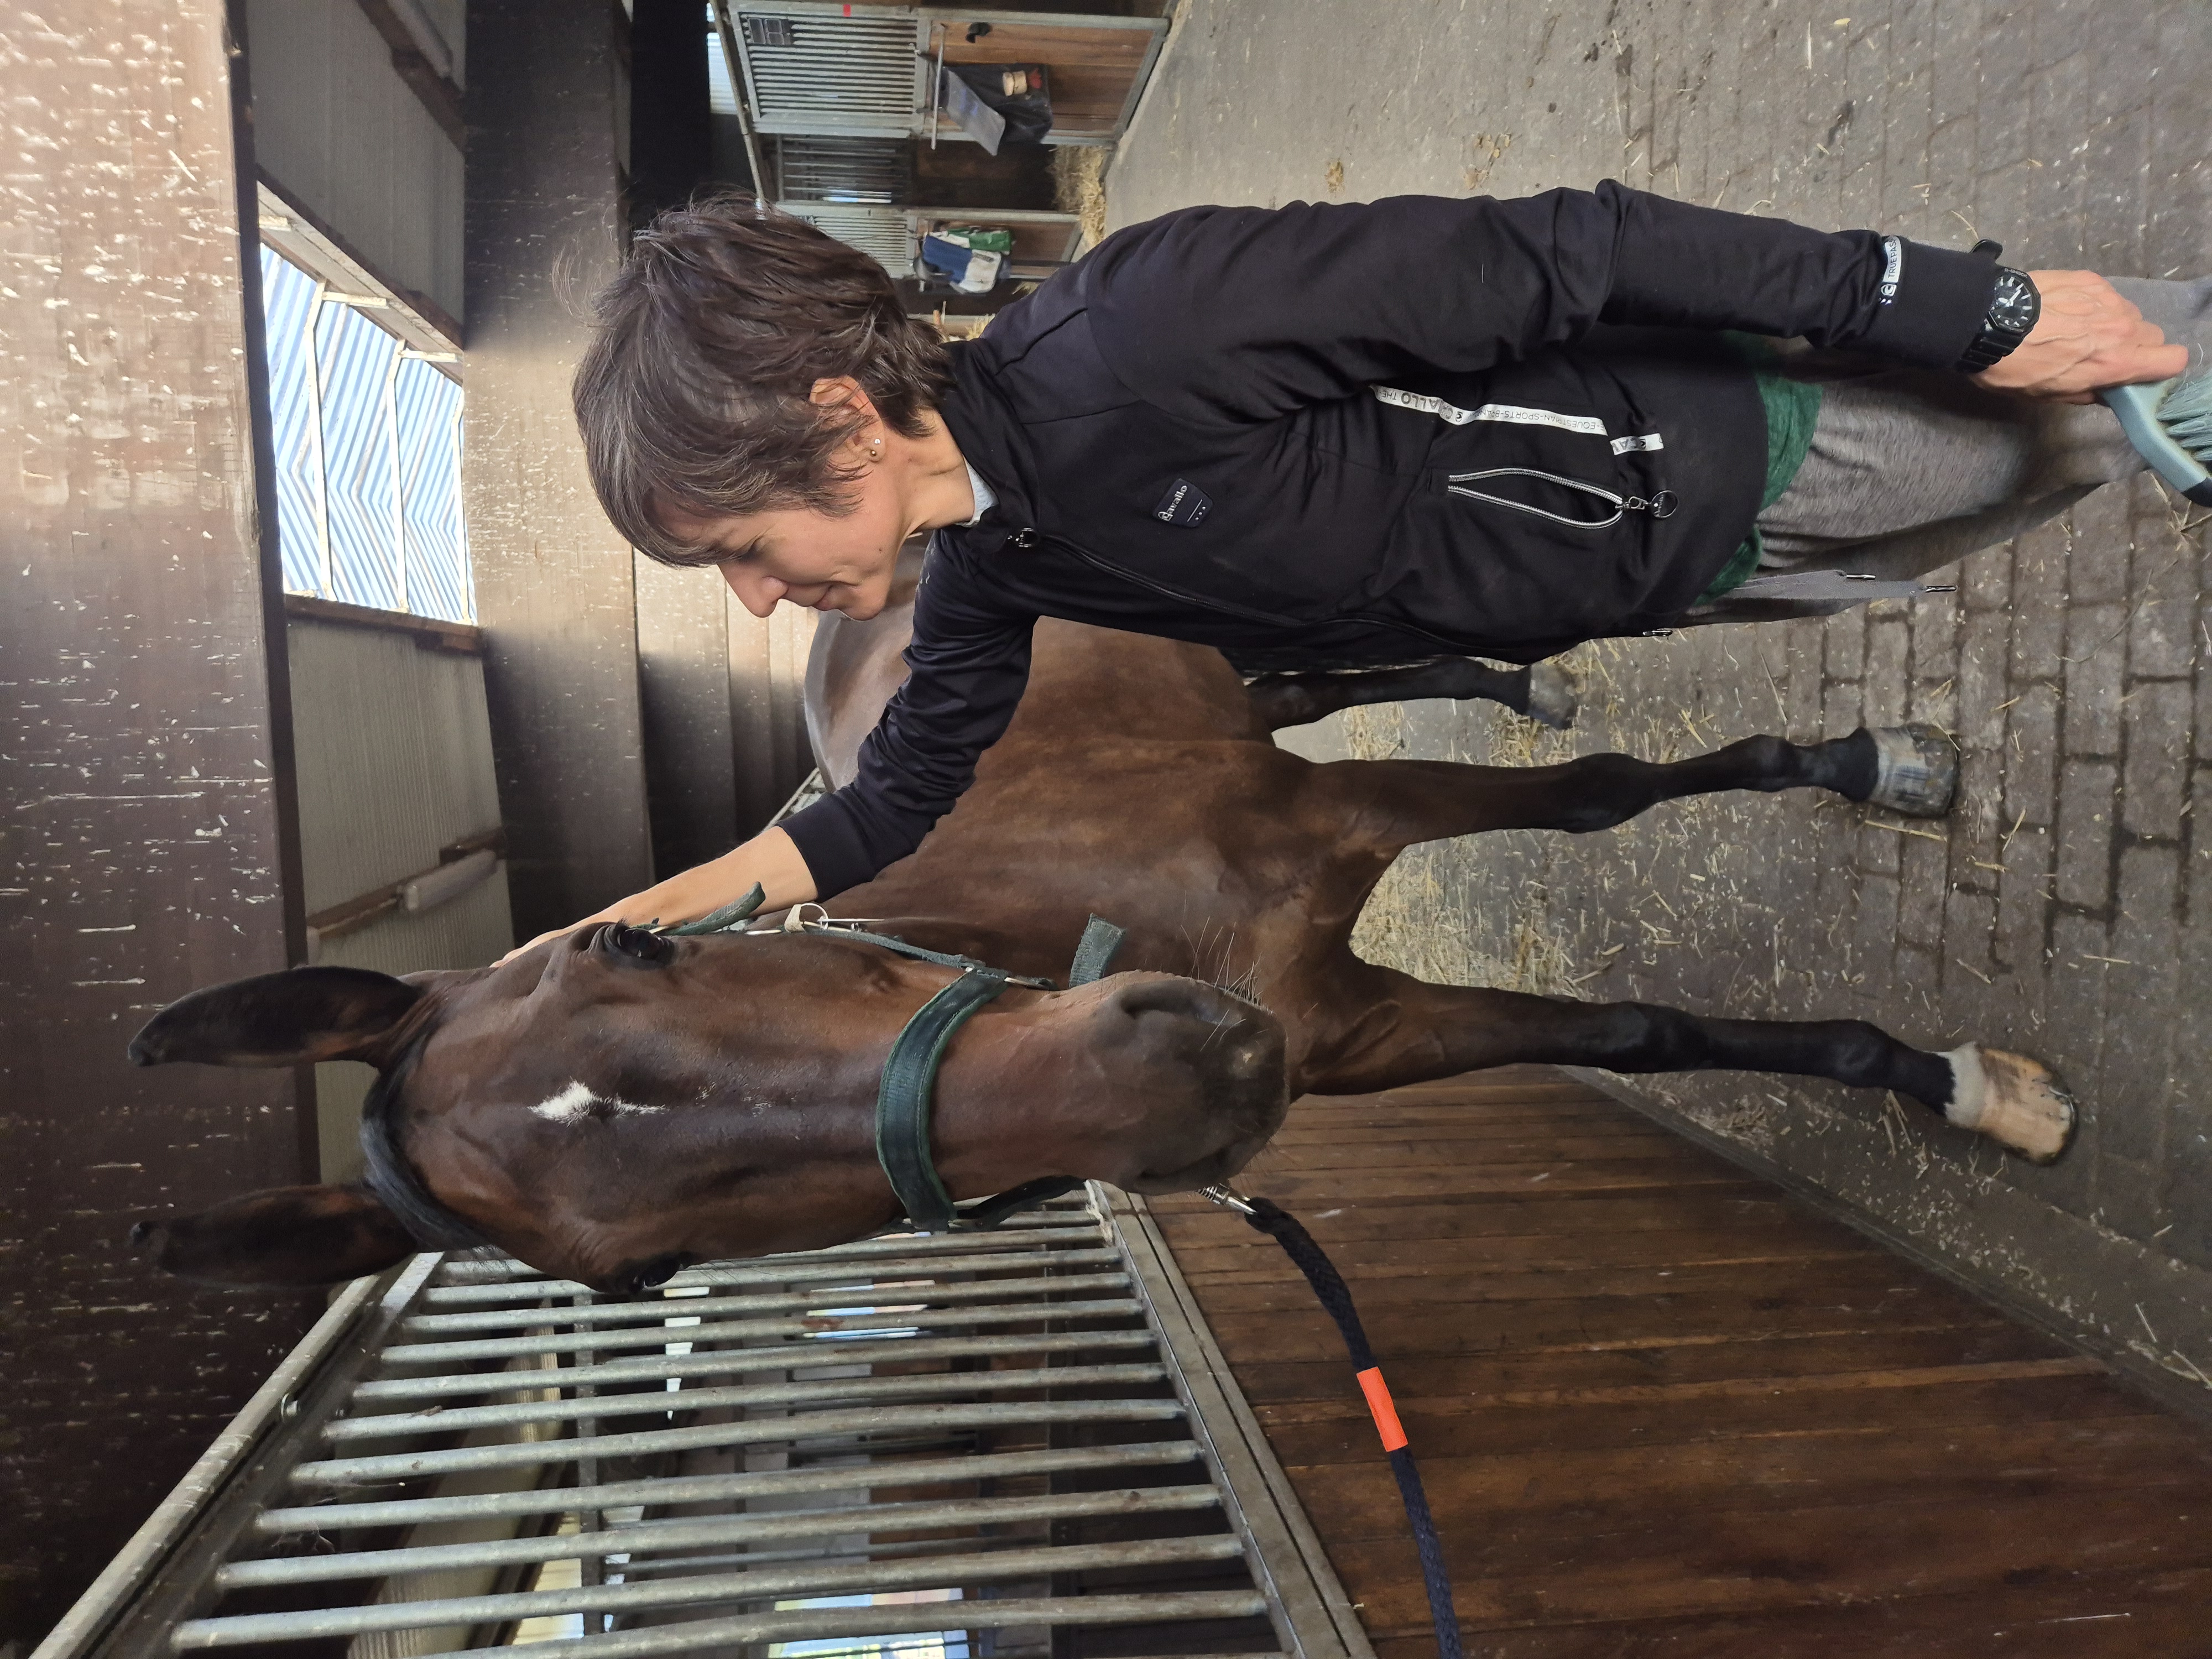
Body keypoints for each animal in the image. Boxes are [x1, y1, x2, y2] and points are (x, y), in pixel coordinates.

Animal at [128, 578, 2075, 1293]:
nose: (1188, 1074)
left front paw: (1878, 779)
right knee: (1314, 671)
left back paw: (1543, 665)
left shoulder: (1346, 824)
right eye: (636, 1279)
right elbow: (1636, 1037)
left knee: (1351, 662)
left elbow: (1602, 800)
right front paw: (1959, 1084)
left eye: (635, 949)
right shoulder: (1352, 1027)